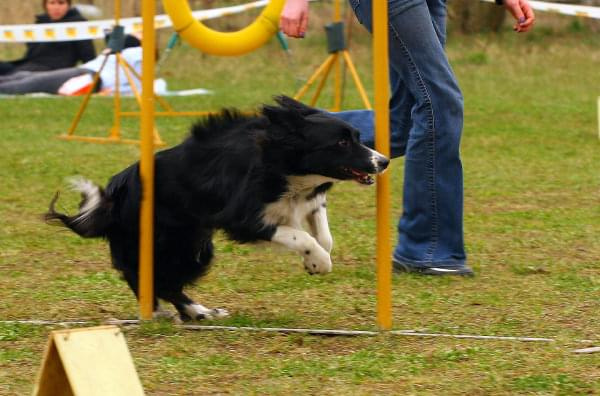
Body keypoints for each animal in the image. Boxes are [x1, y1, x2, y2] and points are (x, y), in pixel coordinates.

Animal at [44, 96, 386, 322]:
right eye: (341, 143)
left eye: (357, 137)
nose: (383, 161)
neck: (281, 162)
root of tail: (113, 199)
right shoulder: (242, 217)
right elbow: (301, 236)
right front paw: (320, 262)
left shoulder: (306, 200)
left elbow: (321, 231)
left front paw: (314, 260)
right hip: (171, 242)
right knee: (151, 277)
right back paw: (182, 312)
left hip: (195, 245)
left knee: (162, 281)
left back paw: (197, 312)